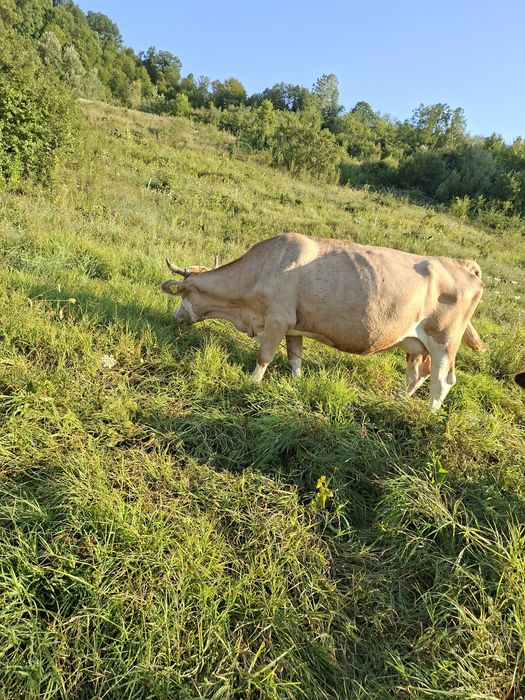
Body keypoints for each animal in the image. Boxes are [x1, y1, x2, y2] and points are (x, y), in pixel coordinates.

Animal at [161, 233, 486, 411]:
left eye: (184, 294)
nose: (177, 317)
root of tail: (461, 263)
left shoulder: (277, 320)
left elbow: (263, 357)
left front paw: (251, 385)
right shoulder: (294, 325)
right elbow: (295, 358)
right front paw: (295, 385)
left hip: (444, 340)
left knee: (442, 382)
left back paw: (428, 415)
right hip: (415, 342)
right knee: (417, 374)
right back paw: (396, 402)